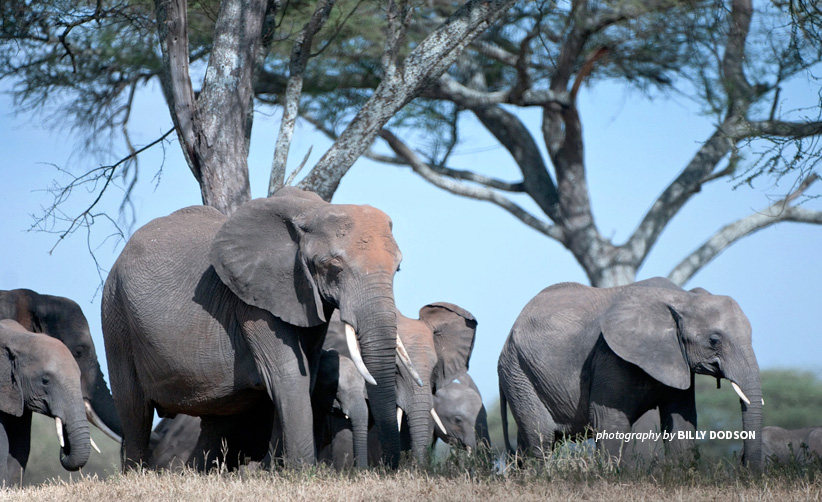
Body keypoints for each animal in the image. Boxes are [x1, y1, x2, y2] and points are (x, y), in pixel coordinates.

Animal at [103, 186, 408, 468]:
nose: (390, 468)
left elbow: (305, 374)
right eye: (333, 266)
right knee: (134, 411)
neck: (312, 210)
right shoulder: (254, 302)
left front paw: (275, 471)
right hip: (116, 315)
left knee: (213, 423)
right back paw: (136, 472)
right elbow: (287, 374)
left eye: (398, 269)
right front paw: (301, 472)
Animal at [496, 278, 768, 470]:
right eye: (714, 340)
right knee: (541, 436)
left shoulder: (677, 360)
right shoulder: (610, 356)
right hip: (519, 370)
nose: (744, 466)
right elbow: (609, 421)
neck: (683, 297)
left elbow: (682, 420)